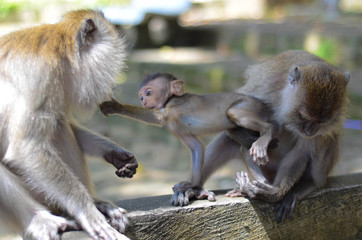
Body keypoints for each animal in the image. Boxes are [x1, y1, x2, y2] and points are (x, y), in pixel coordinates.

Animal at [0, 9, 138, 240]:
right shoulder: (41, 77)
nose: (112, 88)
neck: (61, 53)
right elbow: (27, 147)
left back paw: (96, 203)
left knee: (59, 126)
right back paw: (41, 220)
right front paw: (88, 214)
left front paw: (113, 152)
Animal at [99, 71, 278, 206]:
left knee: (236, 114)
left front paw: (116, 106)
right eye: (141, 95)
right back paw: (260, 184)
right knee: (242, 143)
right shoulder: (176, 127)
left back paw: (267, 134)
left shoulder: (173, 108)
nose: (143, 100)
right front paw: (191, 185)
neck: (172, 99)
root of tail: (264, 105)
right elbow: (197, 147)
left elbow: (157, 118)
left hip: (250, 106)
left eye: (149, 93)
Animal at [198, 50, 350, 221]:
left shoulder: (324, 128)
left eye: (322, 122)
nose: (310, 131)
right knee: (228, 139)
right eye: (304, 117)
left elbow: (302, 152)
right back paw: (194, 188)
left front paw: (274, 193)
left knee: (329, 140)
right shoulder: (266, 88)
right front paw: (250, 138)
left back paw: (308, 183)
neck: (284, 98)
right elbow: (234, 109)